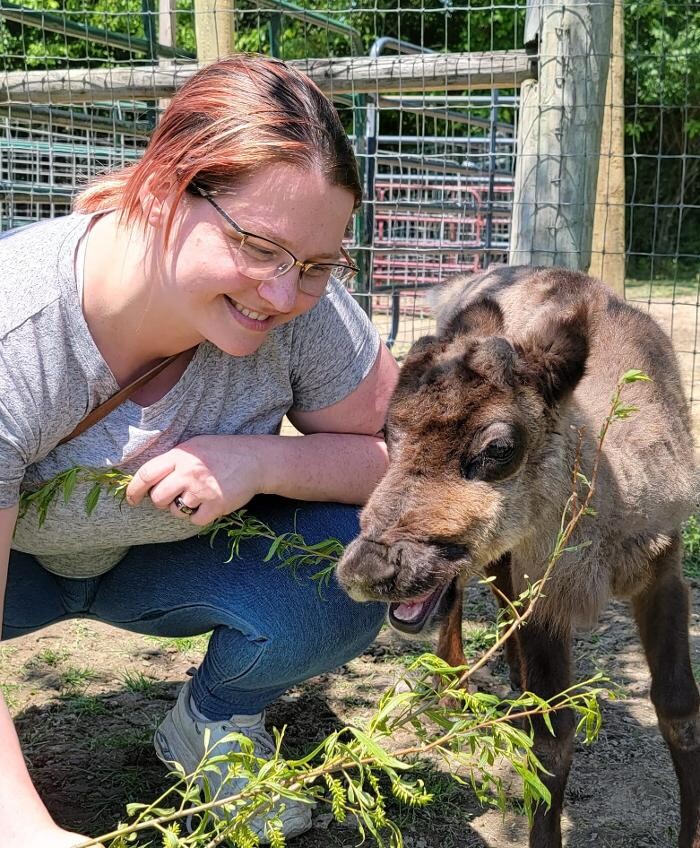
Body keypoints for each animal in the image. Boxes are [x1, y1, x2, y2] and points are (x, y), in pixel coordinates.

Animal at [336, 265, 700, 848]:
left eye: (499, 449)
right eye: (388, 433)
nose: (370, 568)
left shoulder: (663, 568)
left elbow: (679, 706)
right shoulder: (544, 588)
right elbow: (552, 738)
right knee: (465, 595)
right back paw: (457, 689)